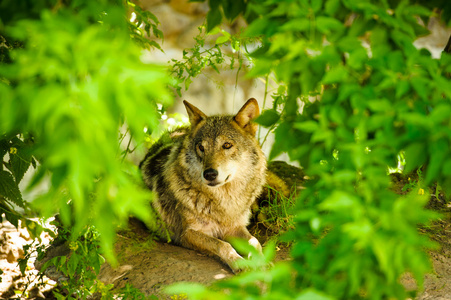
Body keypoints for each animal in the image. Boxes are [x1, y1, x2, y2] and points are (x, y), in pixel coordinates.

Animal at [139, 99, 266, 272]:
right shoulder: (188, 234)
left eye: (227, 145)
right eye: (201, 148)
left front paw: (263, 262)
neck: (223, 202)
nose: (209, 174)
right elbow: (222, 245)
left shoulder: (234, 227)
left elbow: (255, 242)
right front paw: (239, 263)